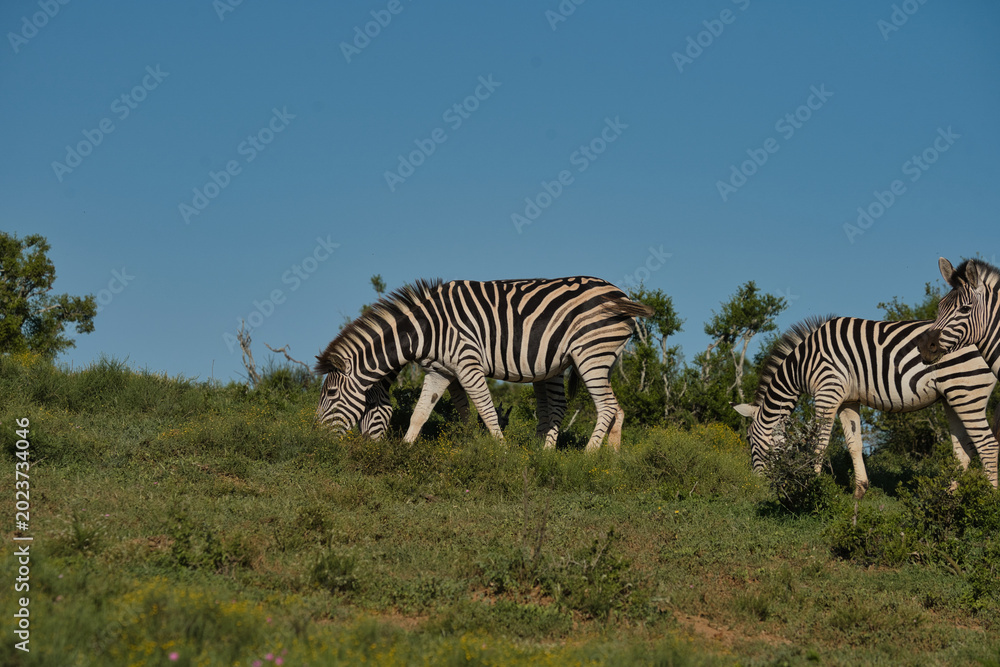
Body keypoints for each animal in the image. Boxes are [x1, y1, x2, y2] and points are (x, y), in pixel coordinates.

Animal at [316, 277, 653, 451]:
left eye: (330, 395)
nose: (316, 438)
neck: (428, 329)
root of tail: (620, 294)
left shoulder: (468, 363)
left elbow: (486, 410)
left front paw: (502, 452)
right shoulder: (440, 371)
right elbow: (421, 413)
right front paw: (406, 449)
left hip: (590, 354)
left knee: (606, 407)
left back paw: (588, 456)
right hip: (587, 359)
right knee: (615, 409)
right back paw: (609, 460)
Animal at [733, 315, 998, 498]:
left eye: (749, 439)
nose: (755, 483)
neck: (803, 363)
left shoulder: (828, 392)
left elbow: (819, 444)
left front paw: (809, 486)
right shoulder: (848, 400)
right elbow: (854, 444)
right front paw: (860, 490)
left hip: (967, 392)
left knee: (987, 446)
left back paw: (987, 499)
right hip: (952, 397)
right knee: (963, 451)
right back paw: (948, 498)